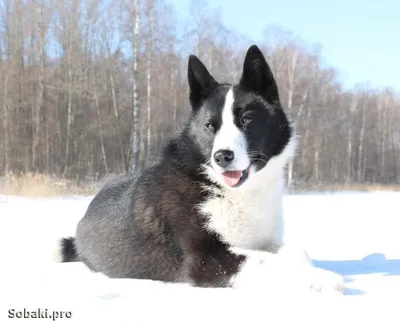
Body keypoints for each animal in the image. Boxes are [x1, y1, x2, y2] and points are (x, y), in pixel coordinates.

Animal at [57, 44, 346, 292]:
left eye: (247, 119)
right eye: (209, 126)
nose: (222, 156)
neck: (233, 192)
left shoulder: (264, 241)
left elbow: (297, 251)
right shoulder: (207, 260)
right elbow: (267, 261)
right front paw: (320, 279)